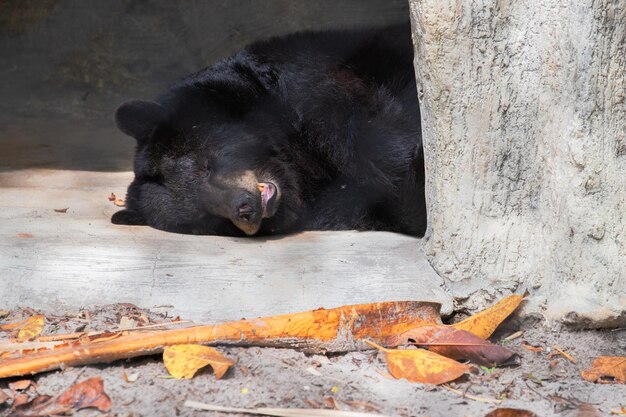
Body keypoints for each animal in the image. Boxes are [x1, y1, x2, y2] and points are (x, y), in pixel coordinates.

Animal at [112, 23, 426, 237]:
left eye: (205, 165)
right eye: (206, 218)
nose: (245, 207)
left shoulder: (310, 82)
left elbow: (366, 132)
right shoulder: (331, 203)